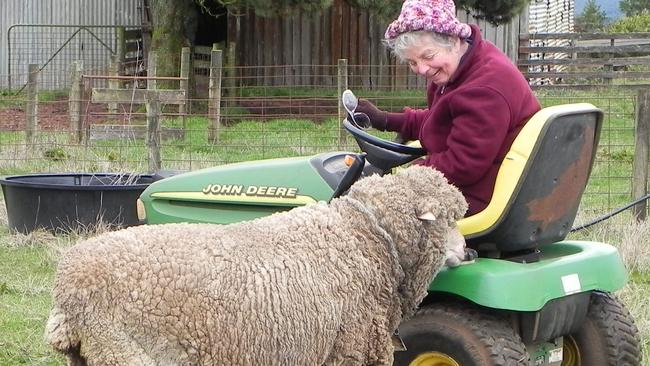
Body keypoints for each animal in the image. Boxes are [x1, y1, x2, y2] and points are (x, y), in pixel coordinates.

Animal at [44, 167, 466, 366]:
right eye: (450, 219)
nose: (469, 253)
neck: (365, 236)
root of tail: (67, 288)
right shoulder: (346, 349)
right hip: (126, 352)